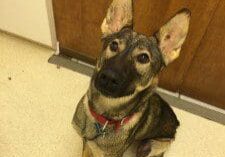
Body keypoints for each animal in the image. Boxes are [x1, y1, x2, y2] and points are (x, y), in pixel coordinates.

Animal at [73, 0, 191, 156]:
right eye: (114, 45)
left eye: (143, 58)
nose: (108, 77)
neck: (102, 118)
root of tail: (176, 124)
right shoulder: (86, 145)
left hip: (151, 146)